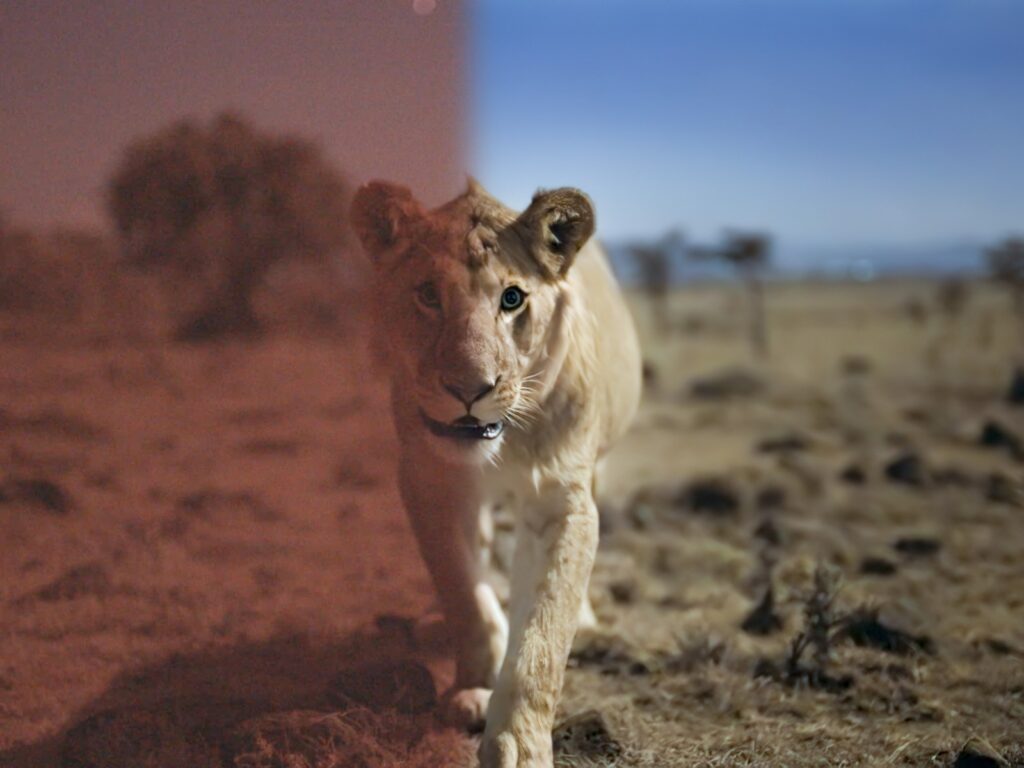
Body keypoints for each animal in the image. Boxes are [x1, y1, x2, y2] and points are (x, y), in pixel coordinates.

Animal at [351, 178, 642, 767]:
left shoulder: (561, 500)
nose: (469, 388)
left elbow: (543, 636)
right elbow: (465, 594)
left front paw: (521, 745)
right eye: (427, 294)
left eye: (512, 298)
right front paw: (474, 688)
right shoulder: (430, 483)